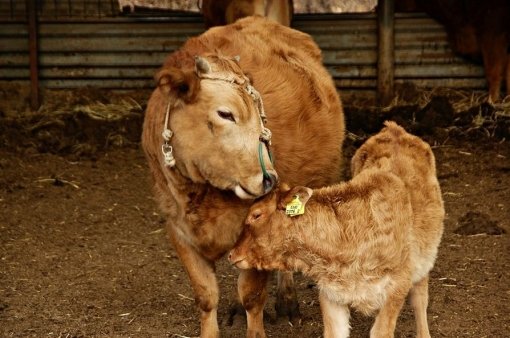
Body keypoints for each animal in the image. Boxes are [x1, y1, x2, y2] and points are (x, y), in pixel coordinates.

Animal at [141, 14, 344, 336]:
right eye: (225, 114)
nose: (269, 178)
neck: (201, 194)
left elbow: (252, 295)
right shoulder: (178, 230)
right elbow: (206, 295)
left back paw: (288, 302)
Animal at [229, 121, 444, 338]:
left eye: (256, 215)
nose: (232, 254)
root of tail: (394, 129)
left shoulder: (396, 288)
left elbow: (381, 330)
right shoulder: (331, 294)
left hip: (424, 260)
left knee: (420, 300)